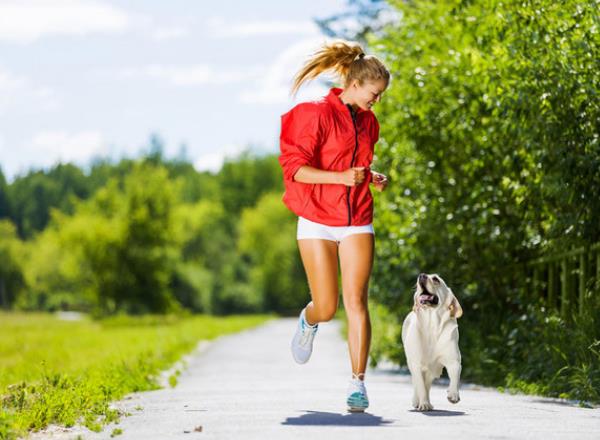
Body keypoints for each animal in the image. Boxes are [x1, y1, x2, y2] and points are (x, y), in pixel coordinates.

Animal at [404, 274, 464, 410]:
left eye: (436, 279)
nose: (421, 275)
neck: (432, 324)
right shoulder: (417, 364)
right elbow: (420, 385)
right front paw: (424, 404)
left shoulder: (454, 360)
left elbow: (455, 377)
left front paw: (453, 394)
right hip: (412, 363)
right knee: (418, 383)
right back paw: (418, 401)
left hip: (433, 370)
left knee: (427, 384)